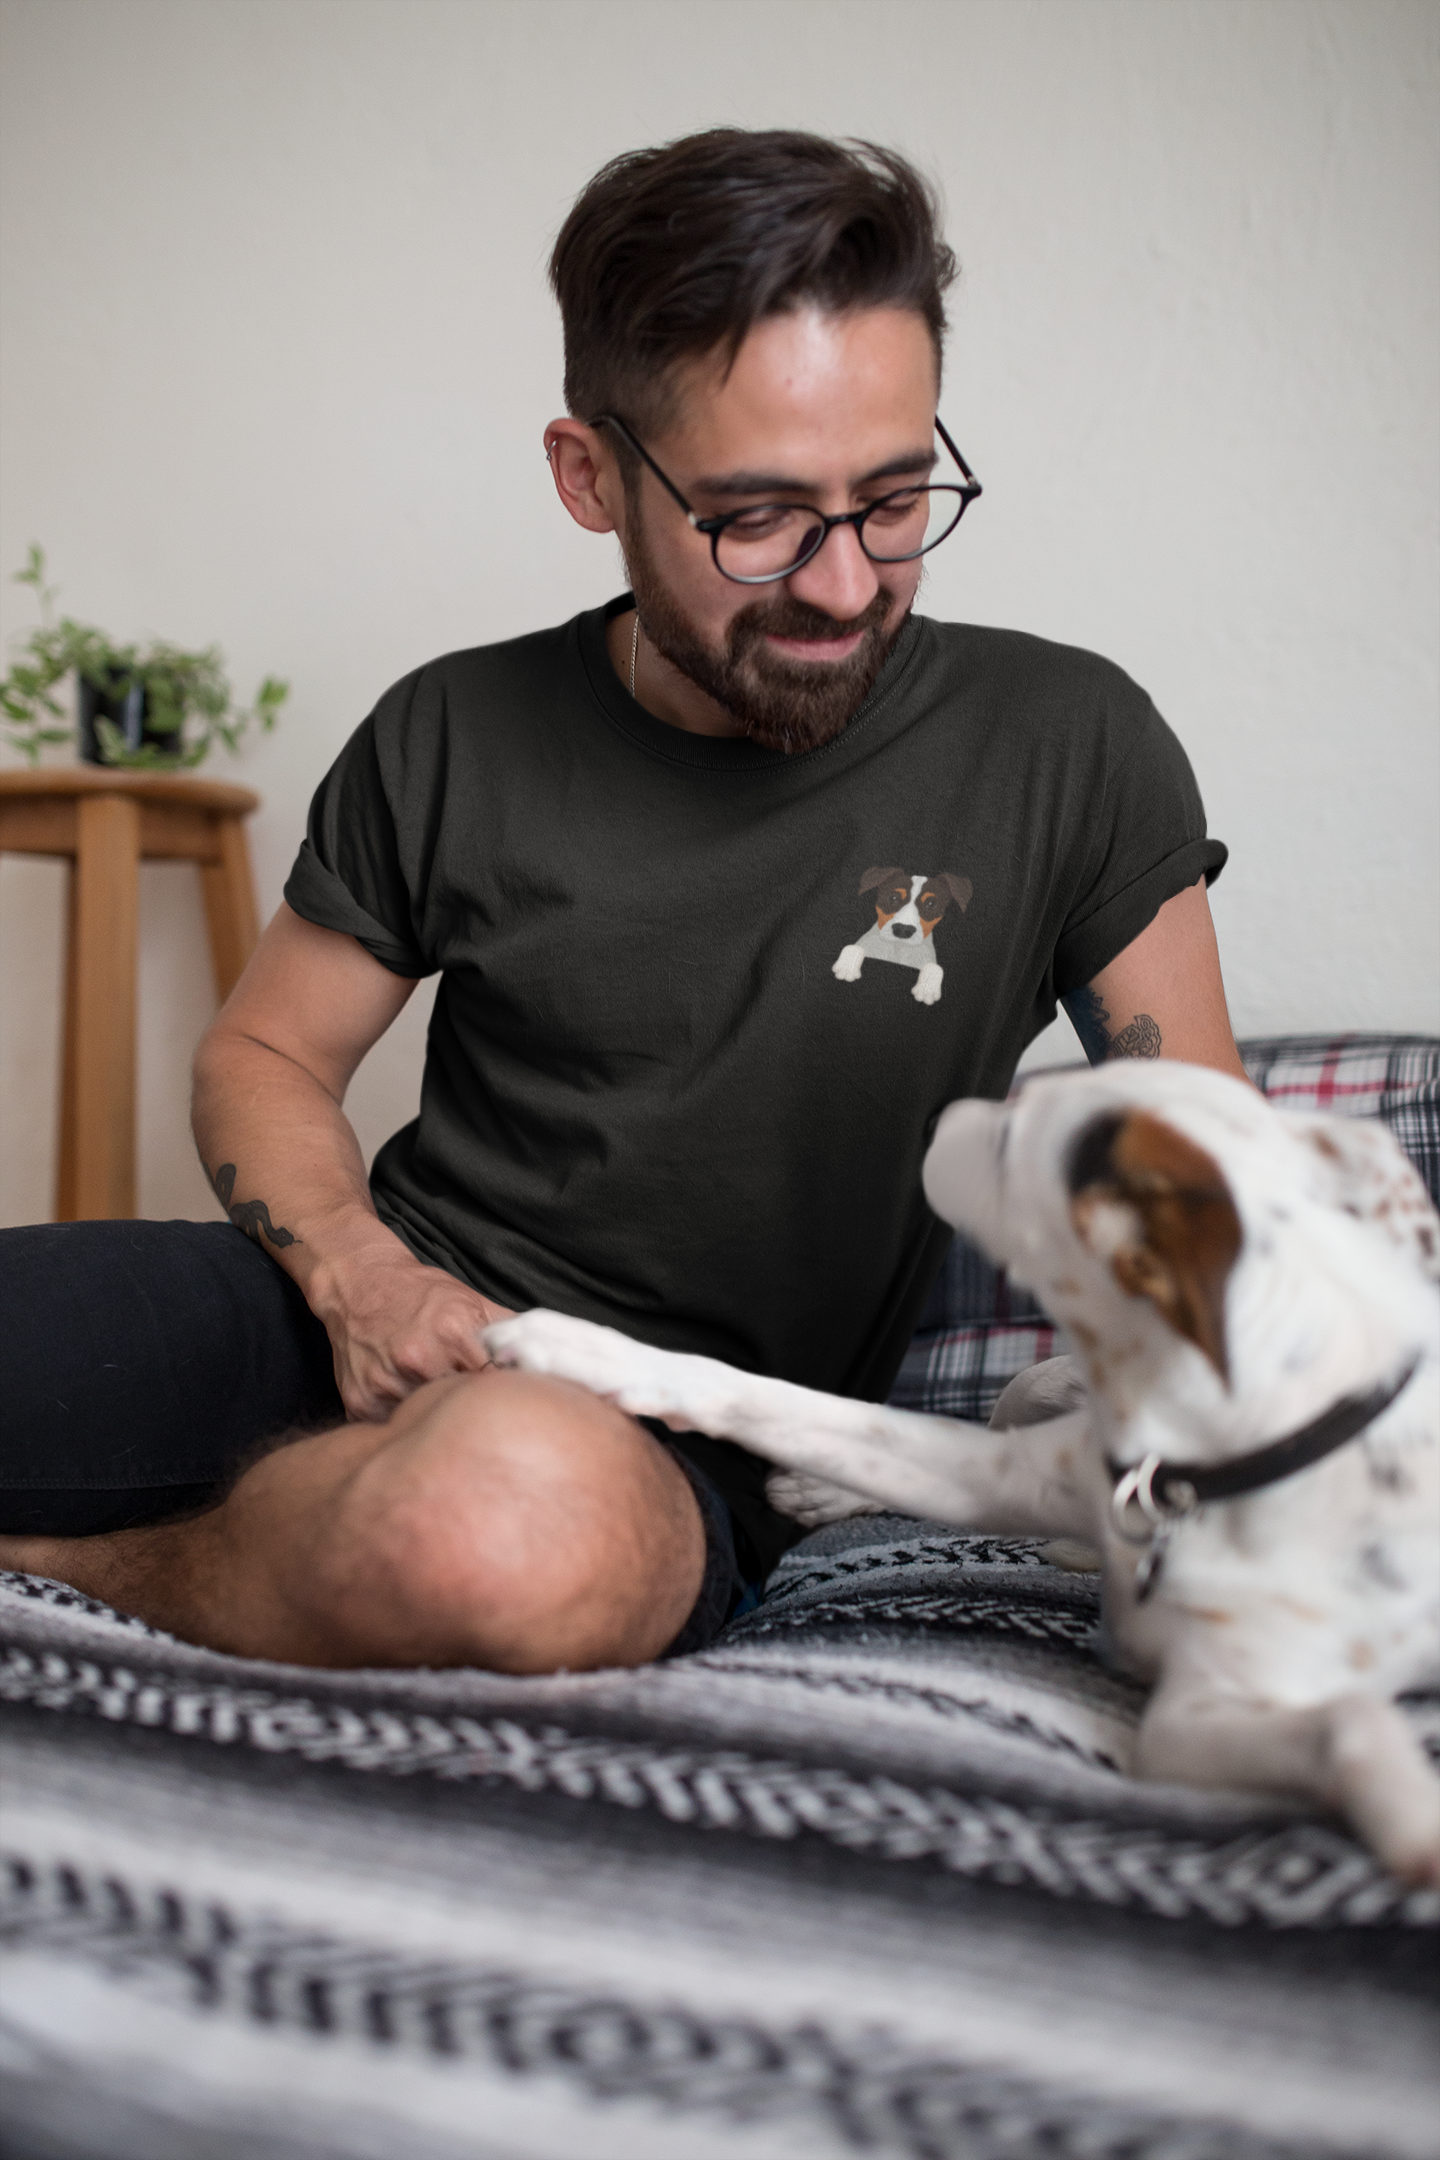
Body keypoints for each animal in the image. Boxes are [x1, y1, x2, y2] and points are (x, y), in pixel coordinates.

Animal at [487, 1071, 1440, 1883]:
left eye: (1012, 1135)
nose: (935, 1116)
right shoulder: (1036, 1476)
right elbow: (779, 1400)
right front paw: (587, 1348)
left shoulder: (1197, 1715)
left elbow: (1352, 1719)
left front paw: (1409, 1814)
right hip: (1038, 1389)